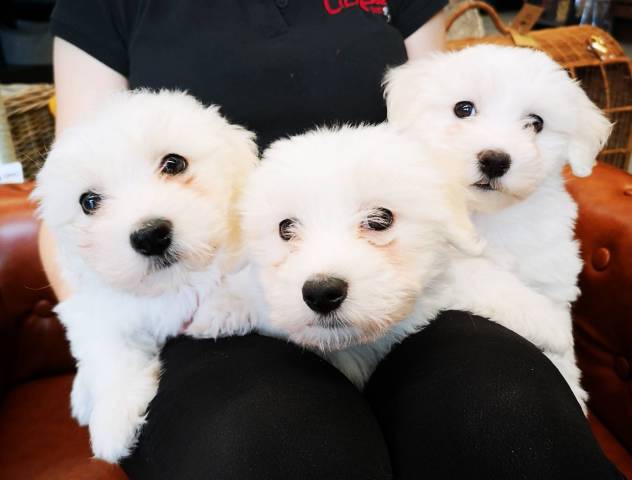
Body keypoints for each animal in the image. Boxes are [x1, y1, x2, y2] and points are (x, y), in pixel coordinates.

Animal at [30, 90, 258, 462]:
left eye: (174, 163)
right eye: (89, 202)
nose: (150, 235)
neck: (173, 282)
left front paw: (221, 310)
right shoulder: (94, 306)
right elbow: (108, 352)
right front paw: (112, 421)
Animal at [382, 46, 608, 408]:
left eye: (536, 123)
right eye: (463, 109)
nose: (495, 160)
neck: (488, 216)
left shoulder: (553, 271)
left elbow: (564, 349)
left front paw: (571, 381)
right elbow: (492, 280)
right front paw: (550, 325)